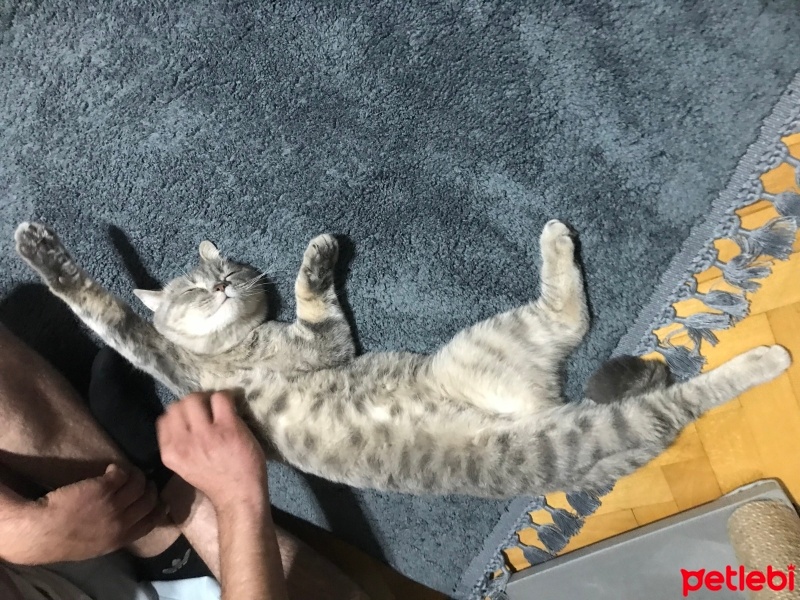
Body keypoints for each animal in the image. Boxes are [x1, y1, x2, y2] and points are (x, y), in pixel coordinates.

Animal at [15, 223, 792, 500]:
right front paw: (40, 251)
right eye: (190, 289)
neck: (246, 343)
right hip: (550, 391)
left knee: (584, 325)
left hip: (504, 349)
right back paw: (765, 358)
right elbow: (105, 311)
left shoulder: (323, 340)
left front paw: (317, 256)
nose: (222, 285)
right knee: (673, 400)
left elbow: (315, 296)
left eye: (225, 270)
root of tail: (547, 407)